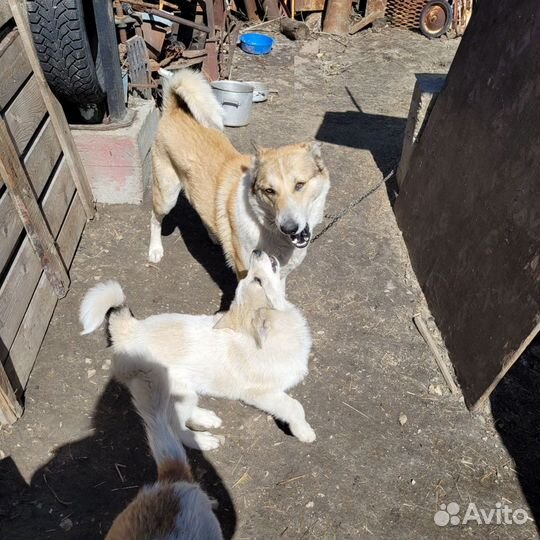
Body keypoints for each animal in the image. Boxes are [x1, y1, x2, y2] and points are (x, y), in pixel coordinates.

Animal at [81, 250, 316, 452]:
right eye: (257, 280)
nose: (256, 251)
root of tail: (128, 330)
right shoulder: (261, 393)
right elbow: (294, 406)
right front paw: (304, 432)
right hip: (174, 390)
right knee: (175, 427)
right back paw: (204, 441)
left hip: (184, 392)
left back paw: (207, 418)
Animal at [148, 68, 330, 278]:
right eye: (269, 191)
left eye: (300, 185)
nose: (289, 227)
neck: (265, 224)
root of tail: (173, 108)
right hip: (166, 197)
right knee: (154, 218)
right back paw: (155, 249)